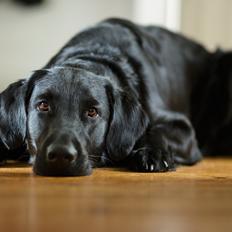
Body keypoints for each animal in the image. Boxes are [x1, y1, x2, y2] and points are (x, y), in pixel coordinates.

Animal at [0, 18, 231, 176]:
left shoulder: (184, 130)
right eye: (43, 106)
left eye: (92, 112)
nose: (60, 156)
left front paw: (154, 153)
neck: (94, 54)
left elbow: (155, 129)